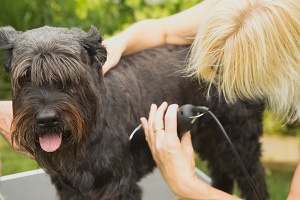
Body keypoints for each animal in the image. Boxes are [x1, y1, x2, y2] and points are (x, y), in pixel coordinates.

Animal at [0, 25, 268, 199]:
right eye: (25, 77)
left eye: (70, 76)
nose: (47, 120)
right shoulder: (72, 191)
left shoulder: (117, 188)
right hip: (210, 137)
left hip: (238, 141)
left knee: (254, 179)